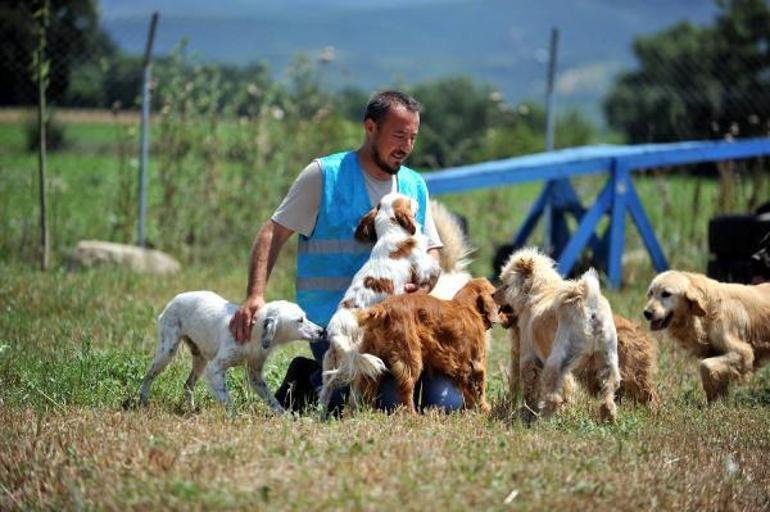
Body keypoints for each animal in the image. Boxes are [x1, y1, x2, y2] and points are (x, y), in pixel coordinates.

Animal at [140, 292, 322, 412]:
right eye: (300, 320)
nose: (321, 331)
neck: (254, 333)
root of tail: (175, 299)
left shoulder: (255, 376)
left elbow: (272, 400)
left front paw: (285, 418)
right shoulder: (215, 368)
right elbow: (227, 400)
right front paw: (234, 417)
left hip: (200, 360)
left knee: (187, 385)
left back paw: (192, 409)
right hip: (167, 352)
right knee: (148, 376)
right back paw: (143, 400)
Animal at [316, 192, 438, 408]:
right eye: (408, 200)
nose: (416, 199)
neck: (391, 232)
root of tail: (336, 330)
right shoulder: (421, 266)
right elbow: (432, 267)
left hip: (331, 363)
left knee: (325, 392)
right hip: (360, 359)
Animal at [640, 270, 768, 402]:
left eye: (666, 294)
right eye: (651, 293)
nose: (647, 313)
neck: (709, 308)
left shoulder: (744, 353)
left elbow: (705, 365)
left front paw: (711, 395)